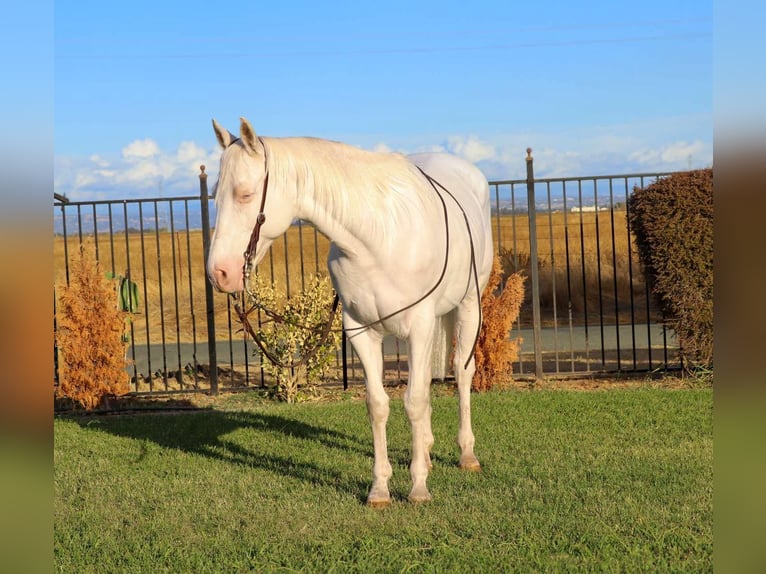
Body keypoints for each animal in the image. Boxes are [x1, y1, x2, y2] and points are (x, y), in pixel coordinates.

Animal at [207, 117, 494, 506]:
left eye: (245, 194)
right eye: (215, 196)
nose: (219, 273)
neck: (376, 237)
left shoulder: (419, 326)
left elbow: (415, 401)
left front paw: (418, 486)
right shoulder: (361, 330)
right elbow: (379, 404)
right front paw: (381, 487)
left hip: (468, 307)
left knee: (462, 375)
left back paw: (466, 454)